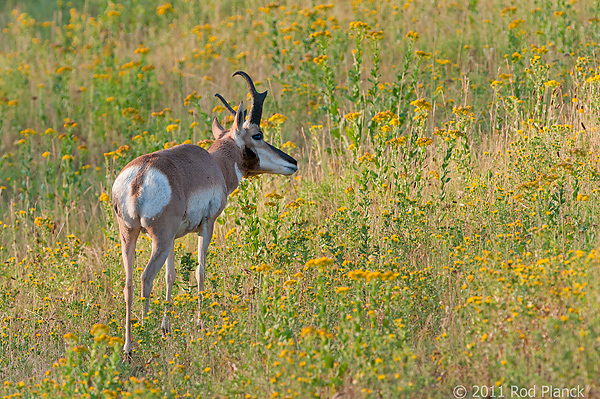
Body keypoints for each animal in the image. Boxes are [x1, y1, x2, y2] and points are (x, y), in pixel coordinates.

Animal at [111, 72, 298, 356]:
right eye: (258, 134)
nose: (293, 162)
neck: (214, 163)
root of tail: (140, 176)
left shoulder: (174, 239)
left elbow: (171, 276)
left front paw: (166, 328)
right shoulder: (207, 225)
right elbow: (200, 270)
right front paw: (200, 323)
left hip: (131, 235)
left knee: (129, 283)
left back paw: (128, 348)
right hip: (158, 239)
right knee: (145, 278)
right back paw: (144, 336)